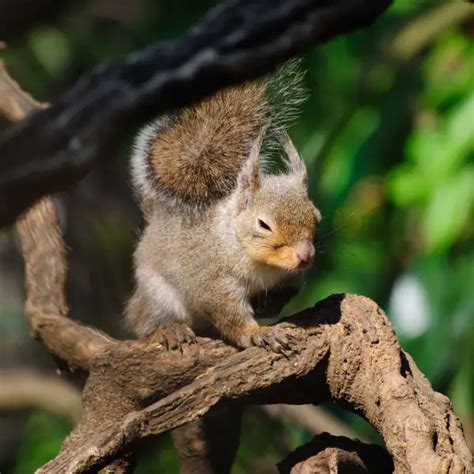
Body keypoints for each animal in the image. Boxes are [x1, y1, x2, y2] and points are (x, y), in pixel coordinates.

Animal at [124, 62, 320, 352]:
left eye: (317, 217)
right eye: (263, 224)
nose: (305, 257)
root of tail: (155, 220)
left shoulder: (293, 279)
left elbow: (287, 293)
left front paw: (268, 306)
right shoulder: (214, 284)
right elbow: (231, 316)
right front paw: (258, 334)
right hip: (157, 297)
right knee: (143, 325)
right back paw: (168, 331)